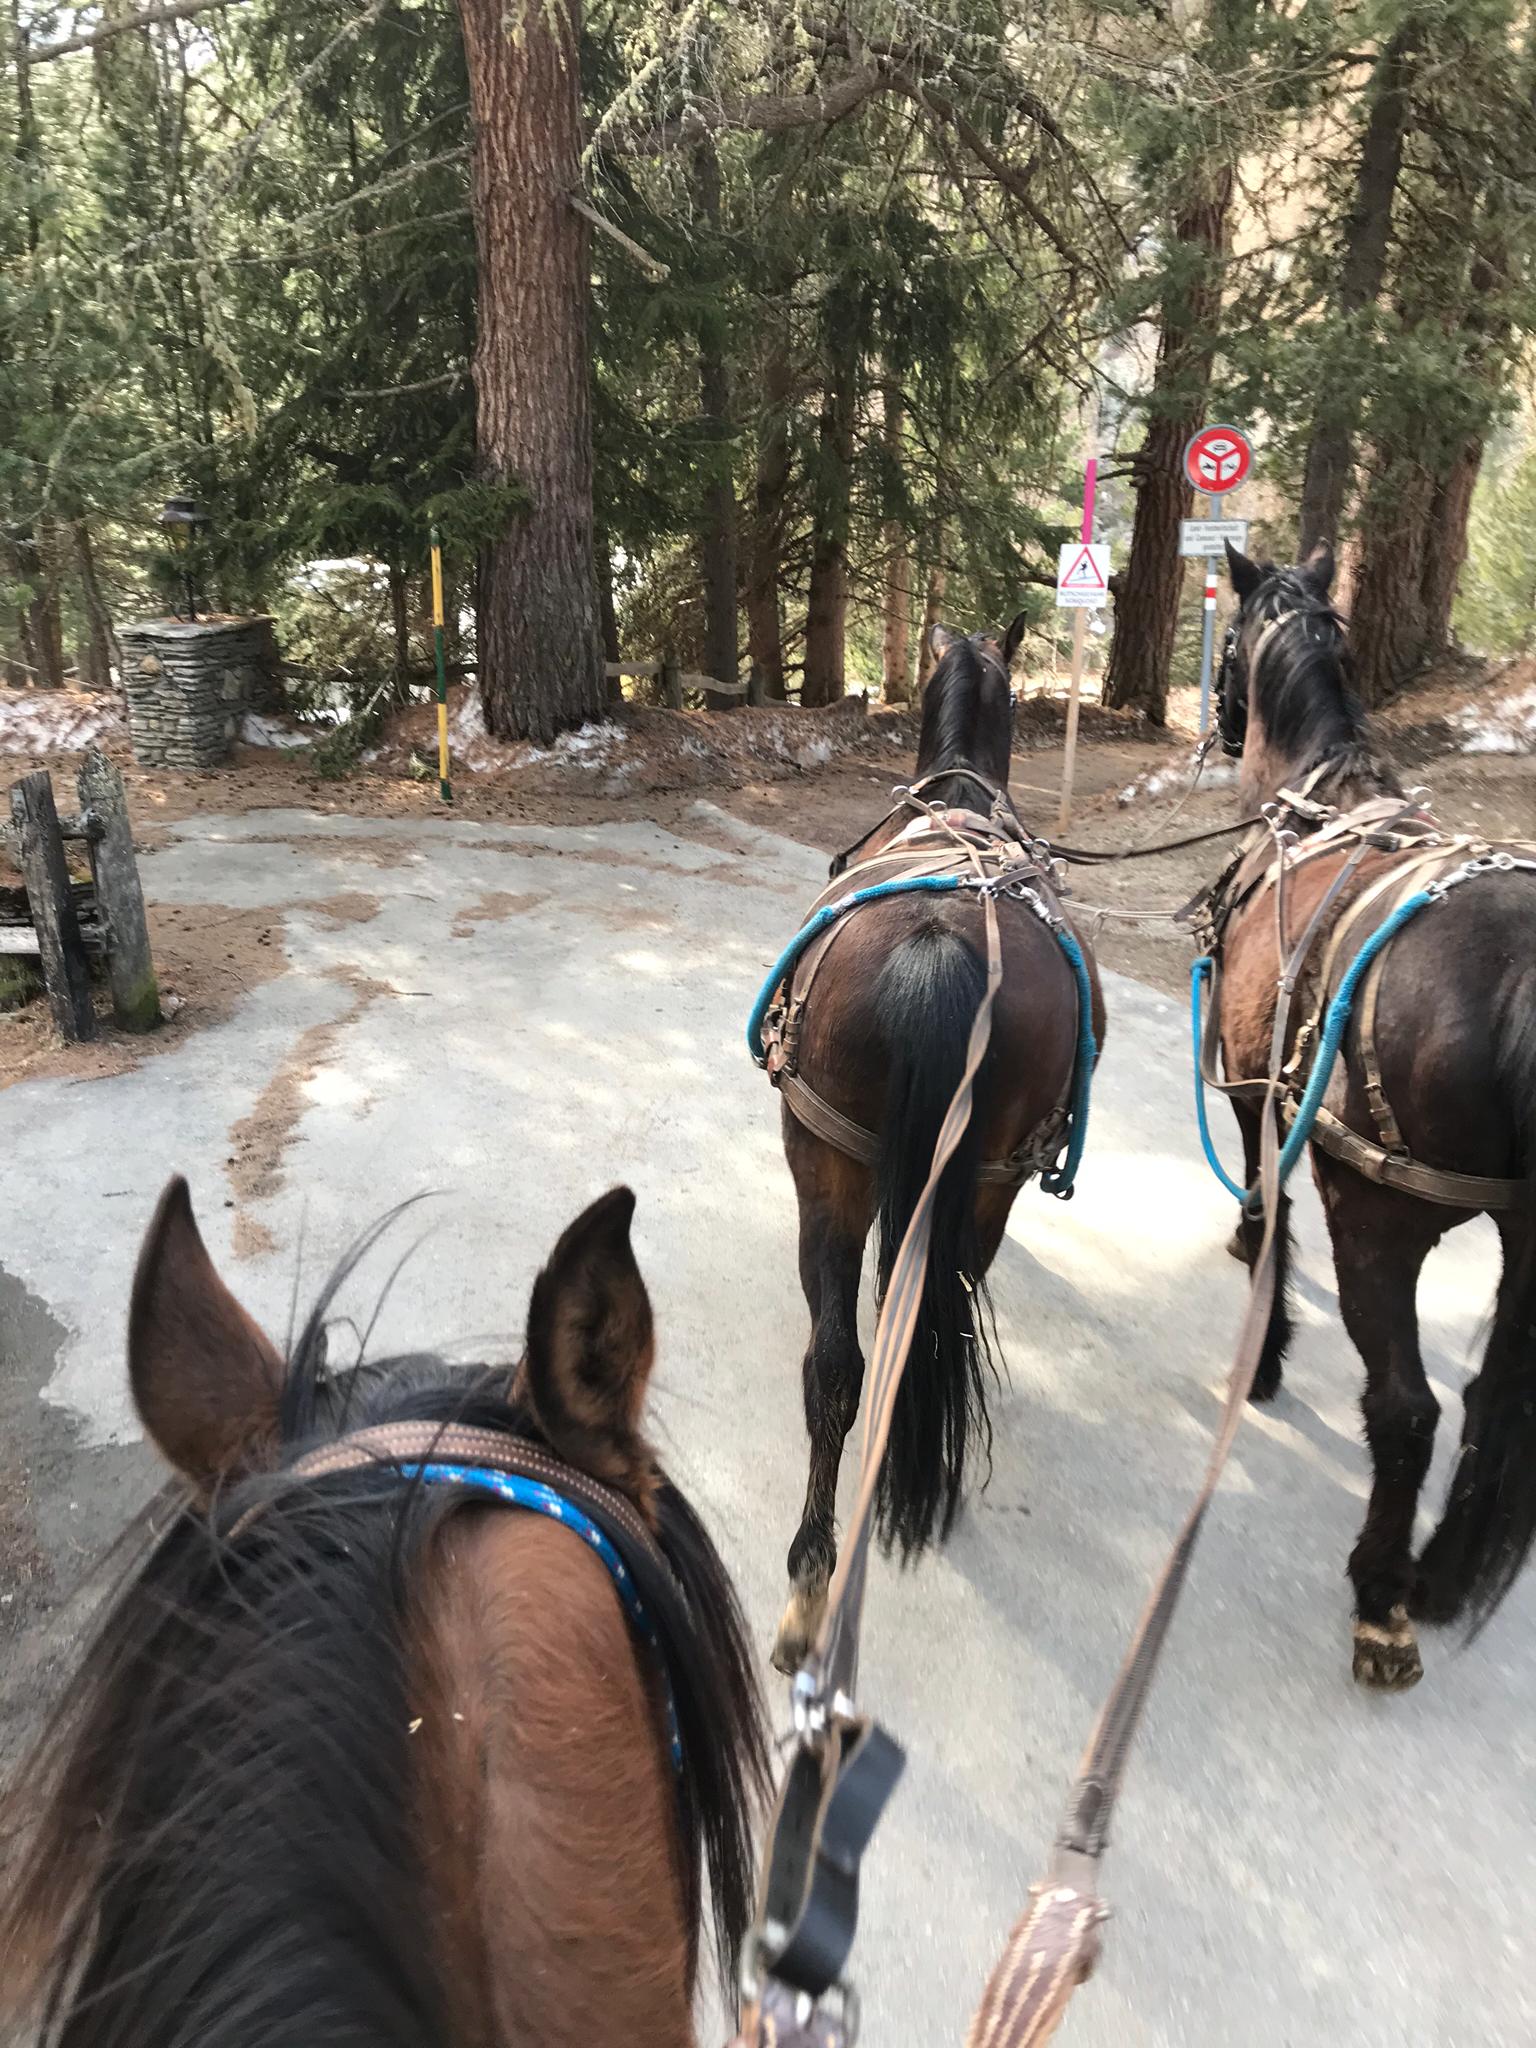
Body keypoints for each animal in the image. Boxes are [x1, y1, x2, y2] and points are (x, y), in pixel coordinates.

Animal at [765, 618, 1105, 1662]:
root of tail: (942, 936)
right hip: (978, 1183)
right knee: (882, 1345)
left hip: (831, 1164)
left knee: (840, 1358)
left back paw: (813, 1569)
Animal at [1212, 536, 1536, 1687]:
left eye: (1226, 639)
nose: (1217, 719)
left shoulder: (1249, 1091)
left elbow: (1263, 1208)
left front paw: (1262, 1349)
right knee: (1492, 1406)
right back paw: (1435, 1579)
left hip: (1378, 1220)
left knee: (1408, 1411)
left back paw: (1382, 1597)